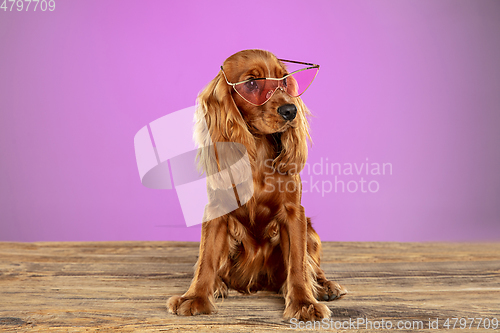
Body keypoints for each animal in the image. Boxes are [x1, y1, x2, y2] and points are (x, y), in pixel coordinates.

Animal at [168, 48, 348, 320]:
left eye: (284, 81)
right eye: (252, 83)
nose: (290, 110)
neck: (258, 153)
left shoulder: (293, 212)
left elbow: (298, 264)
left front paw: (304, 303)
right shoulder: (216, 210)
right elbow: (206, 259)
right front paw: (195, 297)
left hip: (311, 232)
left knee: (310, 266)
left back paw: (324, 286)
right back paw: (218, 285)